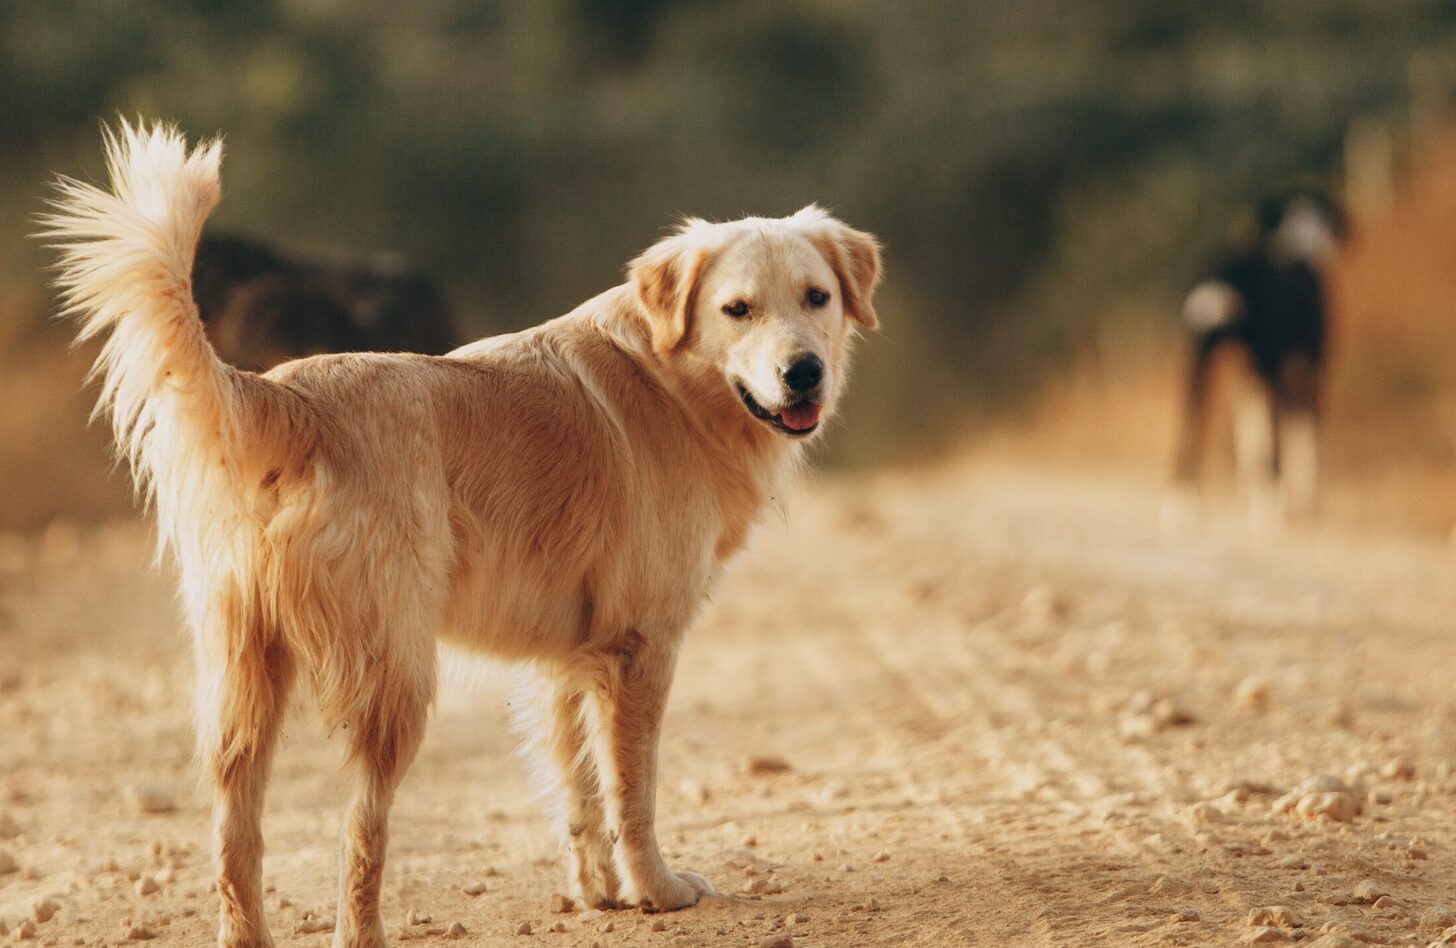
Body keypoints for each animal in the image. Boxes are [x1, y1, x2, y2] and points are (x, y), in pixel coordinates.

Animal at [45, 124, 879, 948]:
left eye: (817, 298)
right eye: (738, 309)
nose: (804, 373)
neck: (670, 380)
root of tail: (289, 396)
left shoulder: (568, 660)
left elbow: (578, 789)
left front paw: (600, 892)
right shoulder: (639, 649)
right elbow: (630, 791)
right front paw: (656, 889)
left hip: (245, 677)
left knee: (235, 834)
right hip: (396, 681)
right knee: (361, 836)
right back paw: (365, 931)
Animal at [1170, 190, 1339, 524]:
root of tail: (1227, 273)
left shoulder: (1244, 379)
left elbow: (1248, 434)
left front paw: (1247, 493)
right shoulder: (1307, 367)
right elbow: (1301, 429)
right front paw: (1306, 503)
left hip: (1200, 361)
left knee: (1191, 417)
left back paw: (1183, 504)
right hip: (1269, 365)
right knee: (1277, 431)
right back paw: (1272, 509)